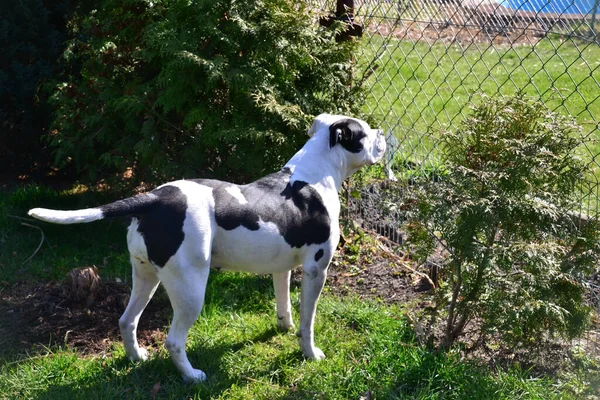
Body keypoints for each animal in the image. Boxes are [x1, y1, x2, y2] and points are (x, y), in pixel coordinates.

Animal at [28, 114, 386, 382]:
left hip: (145, 277)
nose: (384, 134)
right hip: (191, 290)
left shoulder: (281, 267)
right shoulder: (316, 270)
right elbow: (307, 323)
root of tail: (153, 198)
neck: (316, 171)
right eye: (365, 132)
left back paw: (137, 357)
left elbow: (284, 304)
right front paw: (310, 353)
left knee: (127, 321)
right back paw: (192, 376)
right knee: (174, 341)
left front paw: (282, 328)